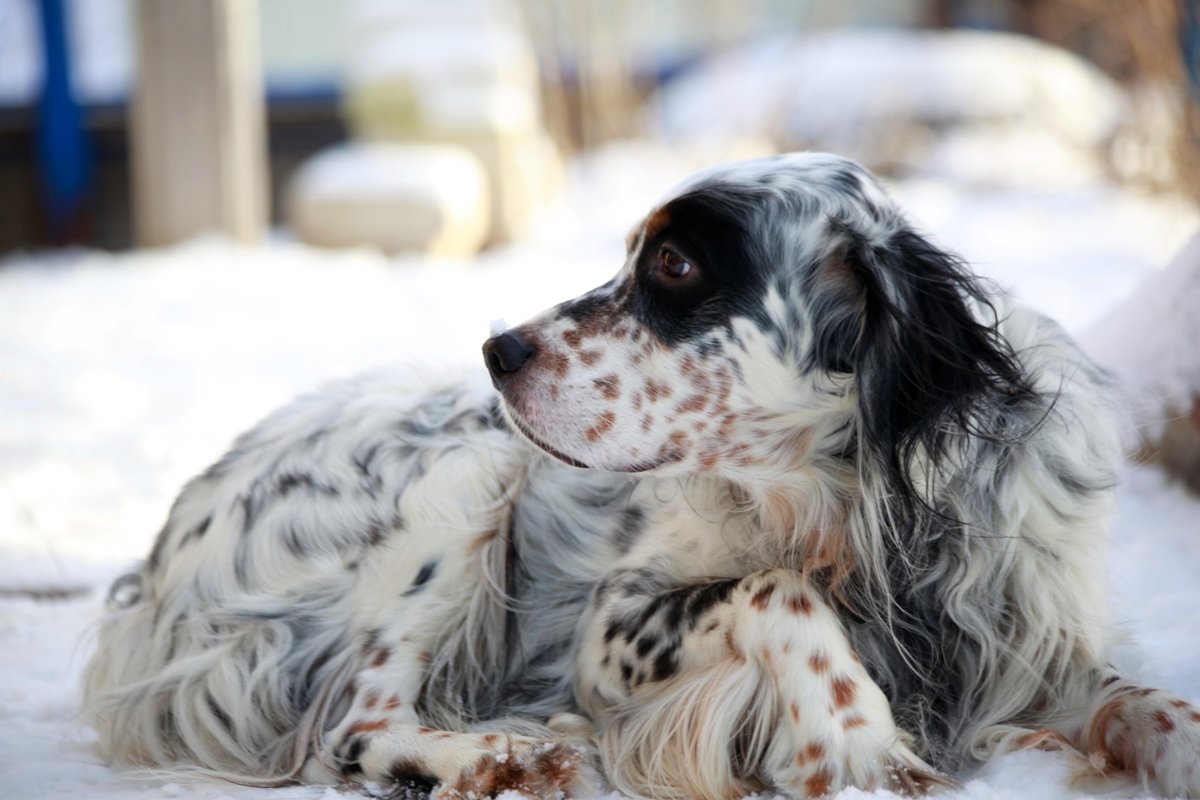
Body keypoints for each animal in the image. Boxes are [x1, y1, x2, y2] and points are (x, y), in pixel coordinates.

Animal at [84, 153, 1200, 796]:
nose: (495, 351)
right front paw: (849, 735)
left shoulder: (1030, 652)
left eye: (673, 266)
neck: (857, 513)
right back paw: (496, 756)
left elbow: (1149, 703)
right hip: (472, 470)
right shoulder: (609, 633)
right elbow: (777, 587)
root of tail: (161, 560)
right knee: (353, 730)